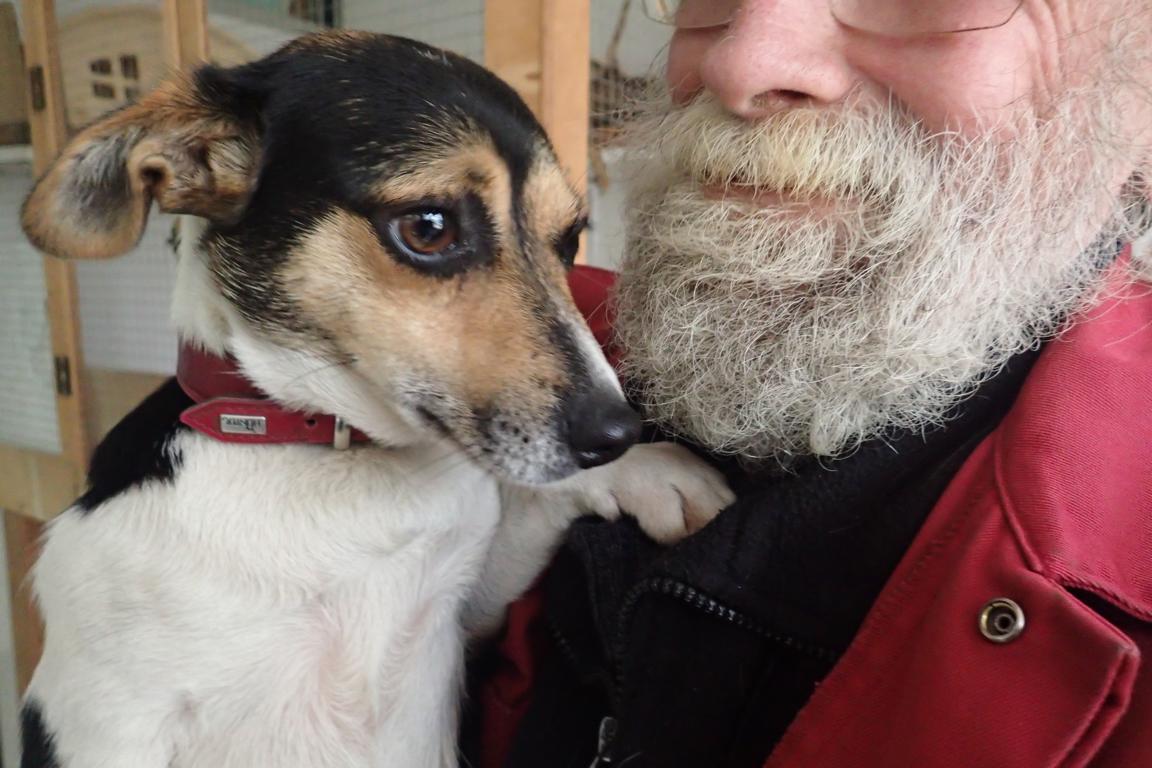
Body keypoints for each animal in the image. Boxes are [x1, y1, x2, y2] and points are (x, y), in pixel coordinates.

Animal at [17, 32, 732, 768]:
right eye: (429, 227)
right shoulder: (112, 719)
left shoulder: (466, 613)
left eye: (568, 241)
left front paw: (652, 473)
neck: (334, 457)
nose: (619, 433)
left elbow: (530, 502)